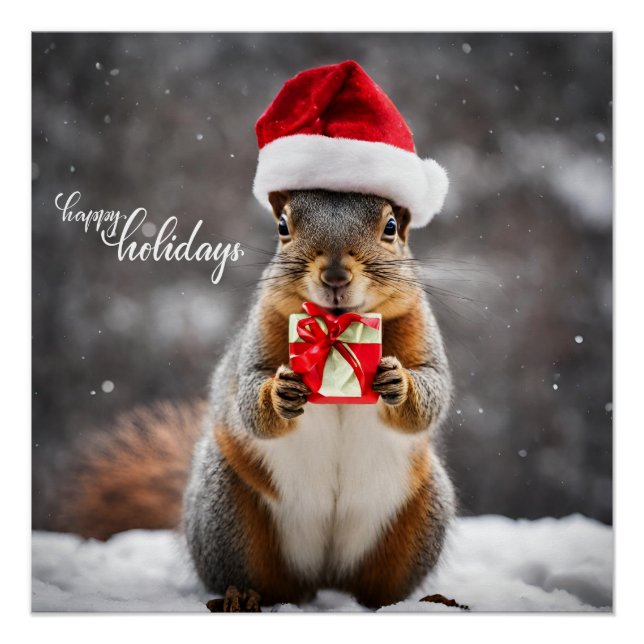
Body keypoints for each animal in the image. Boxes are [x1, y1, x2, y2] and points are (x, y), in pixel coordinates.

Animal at [48, 61, 457, 610]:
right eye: (283, 226)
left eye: (391, 227)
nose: (334, 275)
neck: (337, 326)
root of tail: (323, 574)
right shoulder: (261, 330)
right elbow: (248, 392)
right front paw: (280, 393)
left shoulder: (420, 327)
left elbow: (435, 387)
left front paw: (398, 383)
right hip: (229, 514)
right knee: (258, 576)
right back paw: (243, 596)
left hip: (420, 514)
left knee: (378, 585)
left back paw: (412, 603)